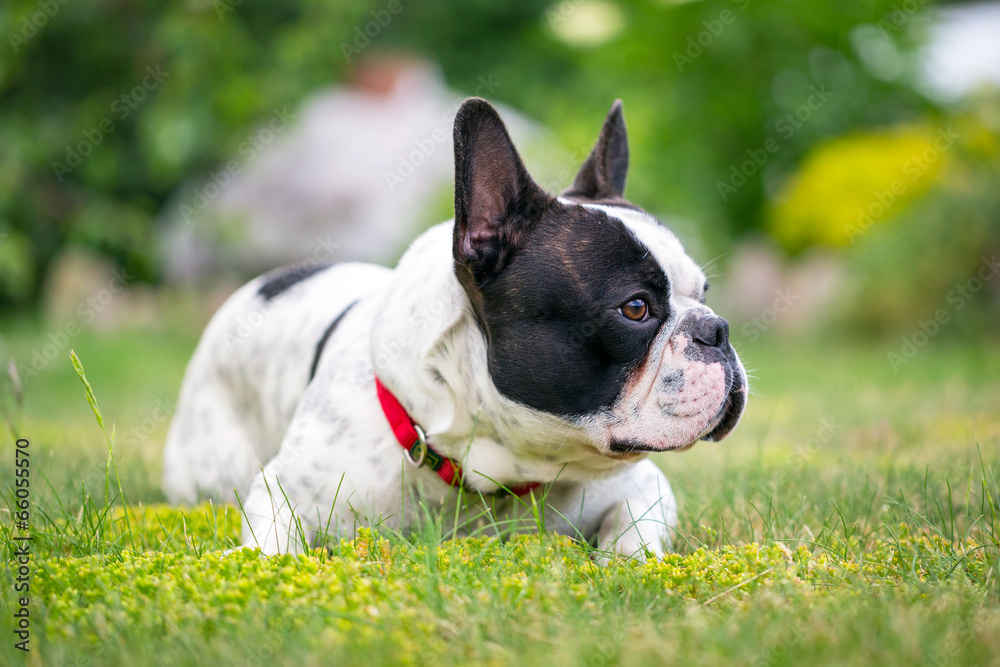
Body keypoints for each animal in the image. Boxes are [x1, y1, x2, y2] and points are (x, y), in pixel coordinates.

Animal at [162, 98, 744, 560]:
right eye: (636, 309)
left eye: (705, 295)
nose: (717, 330)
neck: (492, 465)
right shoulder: (280, 492)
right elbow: (270, 550)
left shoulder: (644, 484)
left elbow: (634, 529)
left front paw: (622, 562)